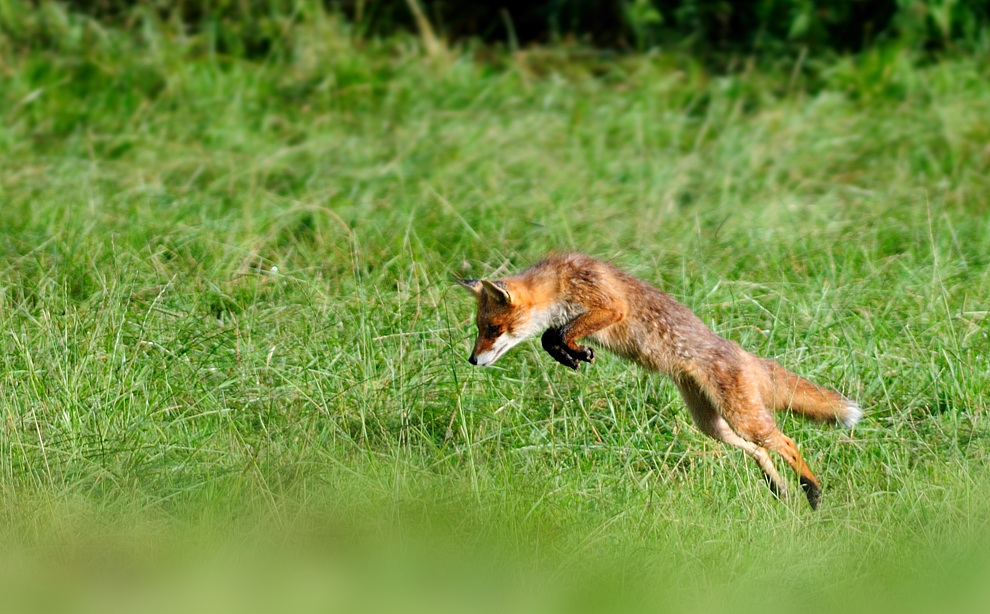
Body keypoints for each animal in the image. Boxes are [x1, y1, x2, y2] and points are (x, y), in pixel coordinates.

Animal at [462, 253, 864, 512]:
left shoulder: (610, 306)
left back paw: (812, 490)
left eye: (493, 329)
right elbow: (550, 335)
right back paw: (779, 488)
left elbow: (558, 332)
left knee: (787, 442)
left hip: (742, 418)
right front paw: (570, 353)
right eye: (479, 328)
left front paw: (571, 351)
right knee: (758, 450)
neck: (558, 282)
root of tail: (739, 351)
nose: (472, 360)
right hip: (713, 424)